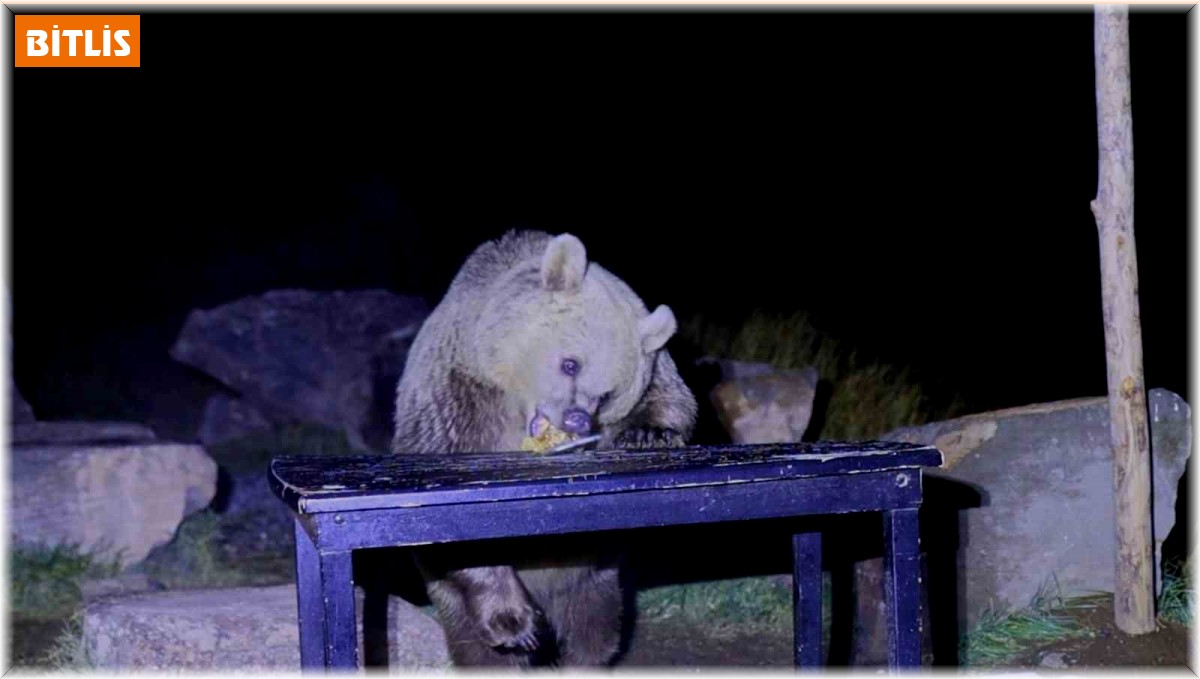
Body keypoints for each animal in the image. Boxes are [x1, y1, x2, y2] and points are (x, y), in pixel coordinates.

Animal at [388, 231, 700, 667]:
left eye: (607, 394)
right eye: (570, 364)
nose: (575, 420)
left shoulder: (656, 370)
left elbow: (672, 398)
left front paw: (649, 433)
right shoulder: (458, 396)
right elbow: (458, 532)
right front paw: (513, 622)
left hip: (593, 572)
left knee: (594, 627)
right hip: (448, 594)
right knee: (475, 642)